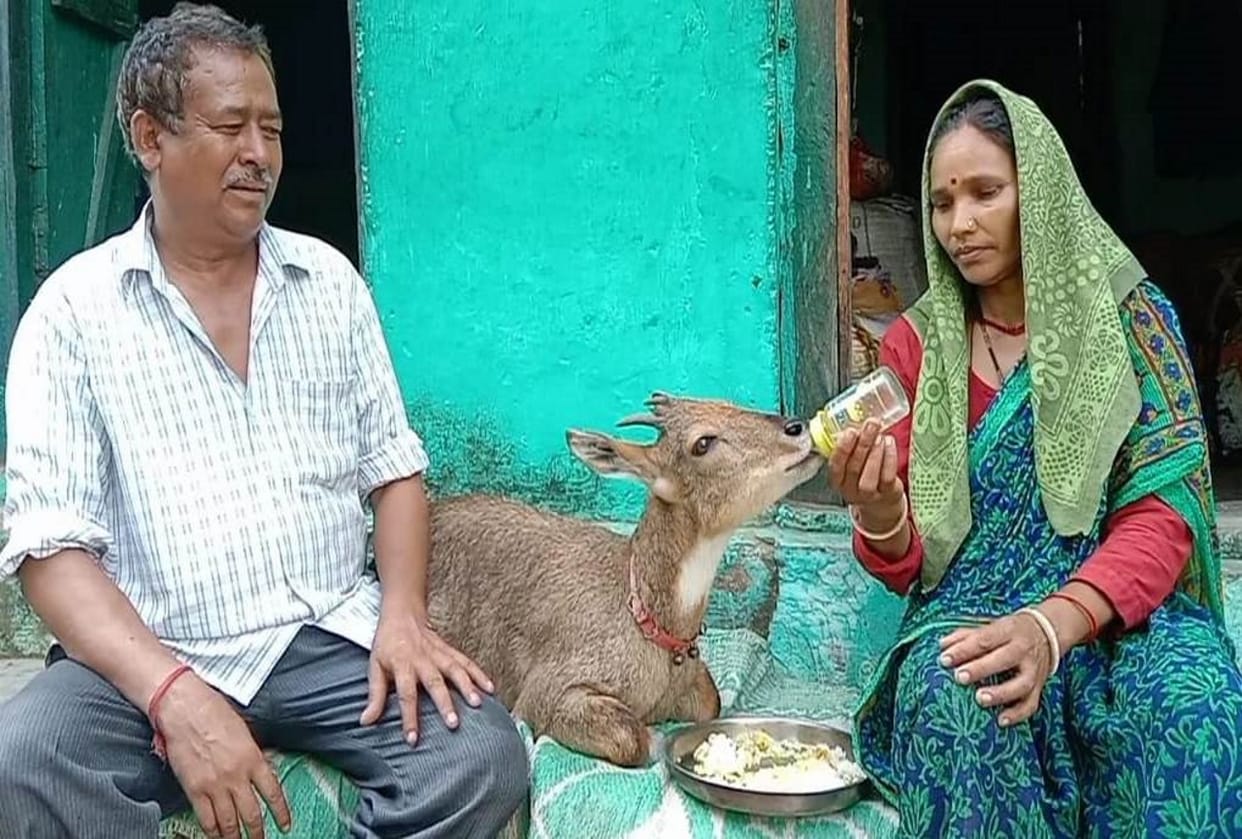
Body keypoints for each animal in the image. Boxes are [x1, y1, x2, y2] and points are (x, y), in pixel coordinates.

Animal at [425, 392, 824, 766]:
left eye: (729, 403)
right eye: (703, 443)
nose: (798, 427)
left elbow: (713, 700)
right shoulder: (545, 693)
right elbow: (630, 737)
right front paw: (656, 740)